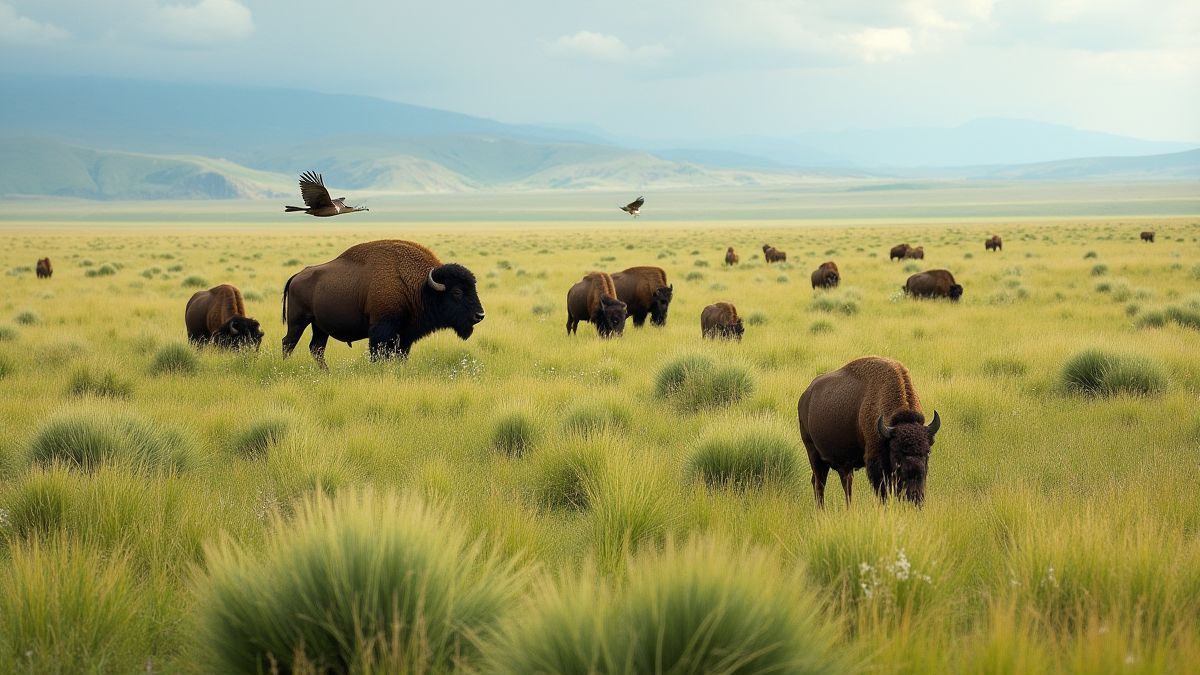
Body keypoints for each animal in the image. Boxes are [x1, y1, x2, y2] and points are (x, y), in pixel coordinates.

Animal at [282, 240, 484, 368]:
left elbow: (399, 356)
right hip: (298, 322)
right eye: (457, 292)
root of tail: (297, 276)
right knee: (288, 343)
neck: (420, 287)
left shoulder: (404, 336)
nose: (480, 315)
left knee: (316, 349)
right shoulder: (381, 329)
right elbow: (378, 354)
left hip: (319, 327)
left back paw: (326, 373)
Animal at [797, 356, 941, 507]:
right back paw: (821, 509)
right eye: (897, 453)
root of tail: (805, 396)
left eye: (927, 452)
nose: (915, 497)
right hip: (813, 452)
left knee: (843, 482)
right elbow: (882, 491)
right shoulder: (875, 461)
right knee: (820, 483)